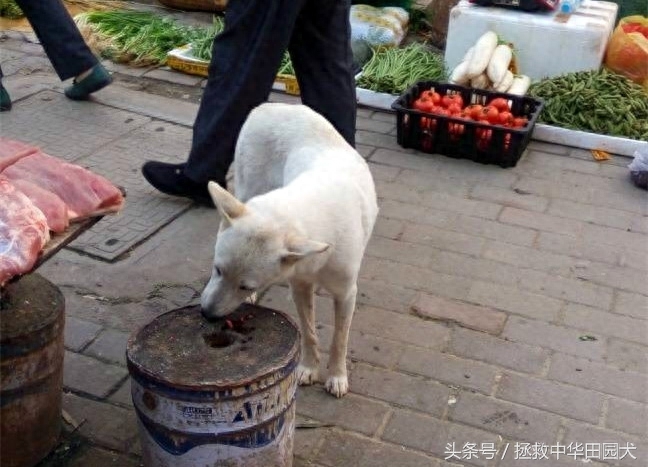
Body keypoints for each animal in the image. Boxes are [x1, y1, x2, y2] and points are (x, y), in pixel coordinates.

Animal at [200, 103, 378, 398]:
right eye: (217, 270)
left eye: (245, 286)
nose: (206, 314)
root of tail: (270, 105)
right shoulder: (300, 286)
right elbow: (308, 331)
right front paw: (308, 368)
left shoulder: (345, 294)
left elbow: (339, 339)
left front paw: (337, 376)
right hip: (248, 187)